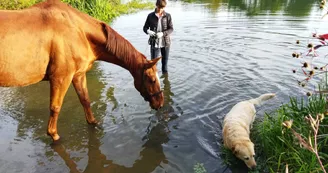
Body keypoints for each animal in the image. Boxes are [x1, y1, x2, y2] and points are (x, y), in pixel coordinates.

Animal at [0, 0, 164, 141]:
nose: (160, 102)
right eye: (152, 79)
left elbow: (85, 100)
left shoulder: (78, 75)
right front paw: (54, 135)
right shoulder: (61, 78)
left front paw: (94, 122)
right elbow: (55, 107)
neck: (79, 31)